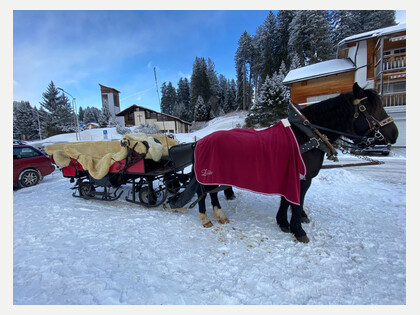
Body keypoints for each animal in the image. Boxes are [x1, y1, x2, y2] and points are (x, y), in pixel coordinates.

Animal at [184, 82, 398, 243]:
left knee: (211, 193)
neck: (306, 136)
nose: (394, 134)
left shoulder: (289, 175)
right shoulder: (301, 178)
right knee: (203, 193)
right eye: (369, 108)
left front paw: (283, 222)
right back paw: (205, 217)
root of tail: (199, 141)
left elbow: (287, 200)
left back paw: (219, 215)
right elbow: (296, 202)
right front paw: (298, 229)